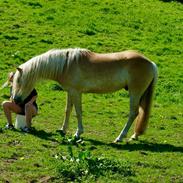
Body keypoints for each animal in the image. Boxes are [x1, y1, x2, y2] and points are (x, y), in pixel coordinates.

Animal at [11, 48, 157, 142]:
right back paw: (134, 135)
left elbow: (78, 112)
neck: (66, 65)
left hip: (135, 93)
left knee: (133, 113)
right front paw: (63, 129)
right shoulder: (70, 92)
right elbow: (68, 110)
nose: (16, 100)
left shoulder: (76, 92)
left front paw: (78, 133)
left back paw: (120, 137)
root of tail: (151, 63)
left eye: (19, 81)